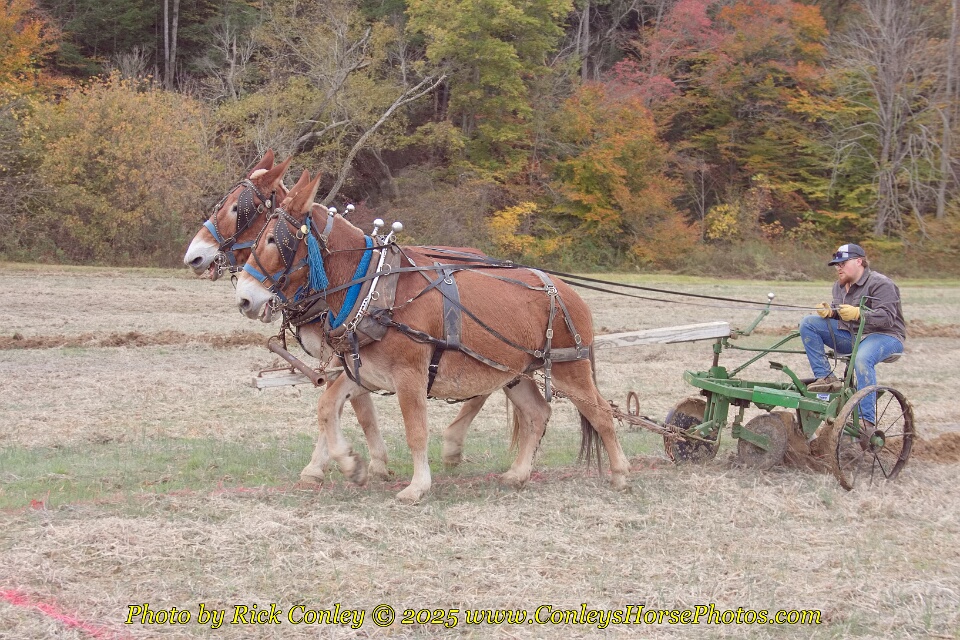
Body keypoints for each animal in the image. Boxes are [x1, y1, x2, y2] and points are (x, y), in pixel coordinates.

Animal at [181, 153, 501, 480]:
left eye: (237, 207)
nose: (193, 257)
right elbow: (355, 406)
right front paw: (364, 462)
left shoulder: (343, 353)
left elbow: (351, 407)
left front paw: (335, 465)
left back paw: (453, 444)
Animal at [235, 172, 630, 503]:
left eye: (272, 240)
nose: (244, 298)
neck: (373, 289)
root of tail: (566, 291)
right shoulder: (364, 371)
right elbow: (327, 407)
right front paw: (351, 464)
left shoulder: (409, 374)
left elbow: (415, 430)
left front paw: (417, 486)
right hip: (514, 372)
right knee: (537, 413)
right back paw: (518, 473)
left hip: (569, 367)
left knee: (600, 413)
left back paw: (620, 472)